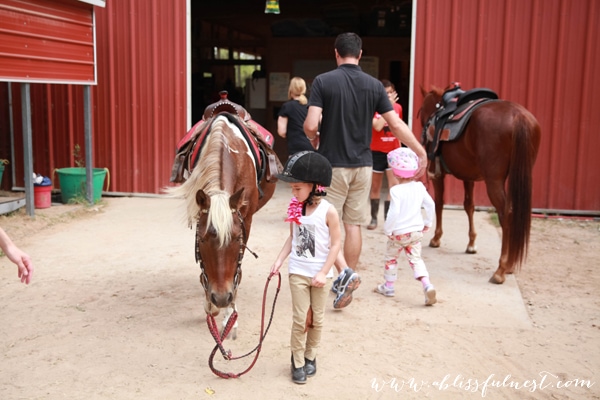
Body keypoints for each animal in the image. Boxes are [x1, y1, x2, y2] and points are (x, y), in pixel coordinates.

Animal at [420, 85, 540, 284]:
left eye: (421, 109)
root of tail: (518, 117)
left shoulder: (438, 175)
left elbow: (439, 203)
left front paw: (436, 238)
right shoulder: (468, 176)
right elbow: (469, 206)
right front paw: (471, 244)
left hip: (494, 181)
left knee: (506, 214)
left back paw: (501, 269)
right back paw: (510, 265)